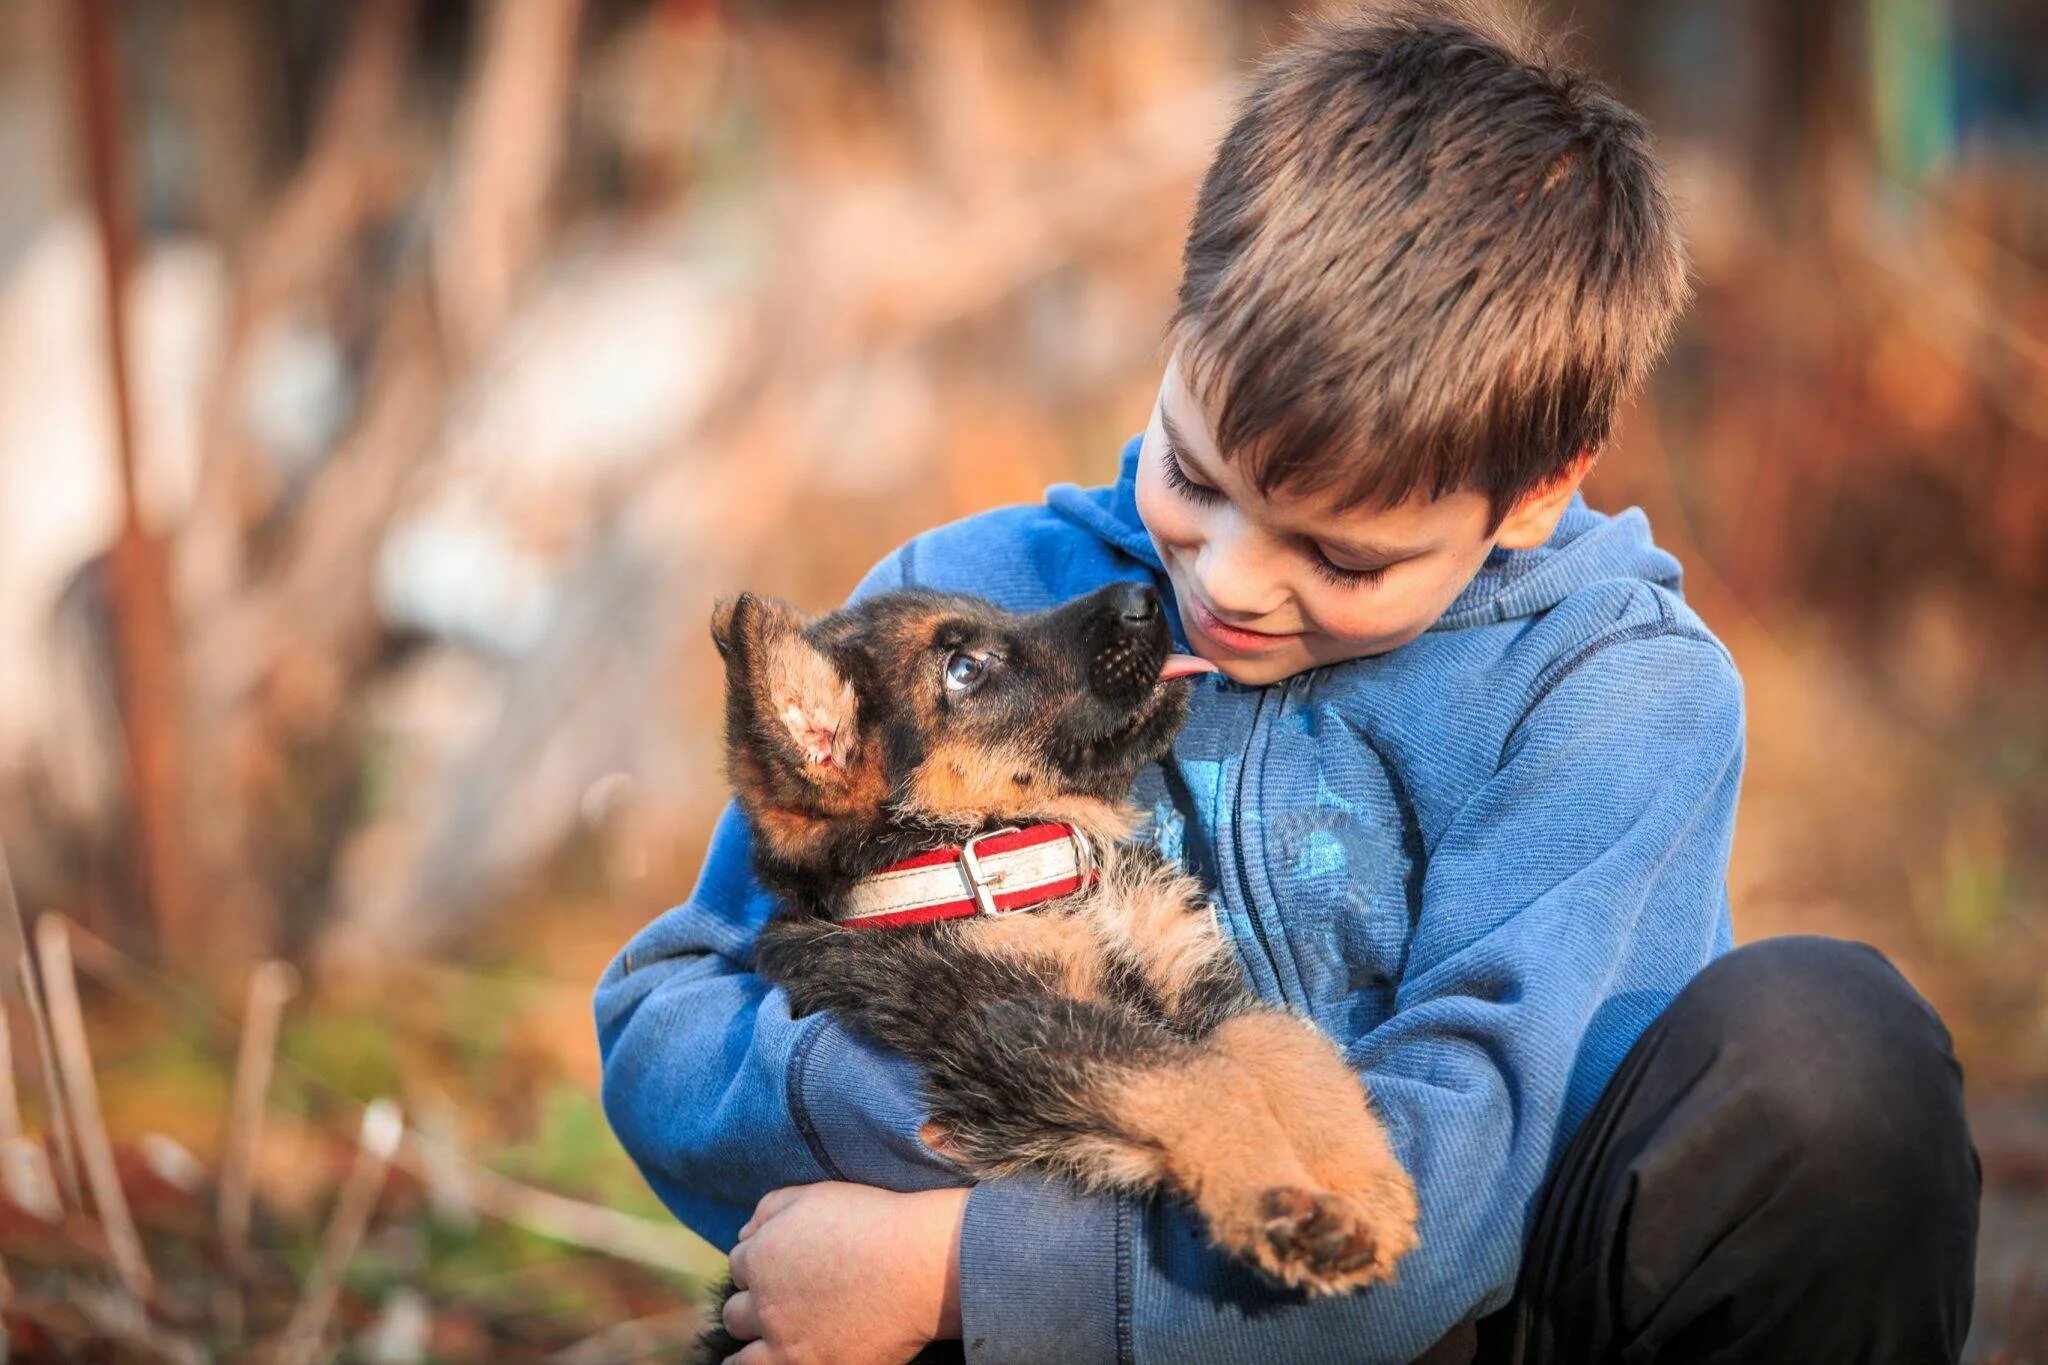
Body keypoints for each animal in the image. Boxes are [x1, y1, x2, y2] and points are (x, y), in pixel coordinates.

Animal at [696, 581, 1417, 1358]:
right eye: (964, 669)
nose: (1143, 593)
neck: (1023, 870)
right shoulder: (1011, 1027)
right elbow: (1201, 1076)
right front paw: (1284, 1205)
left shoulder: (1198, 980)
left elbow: (1285, 1048)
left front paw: (1363, 1186)